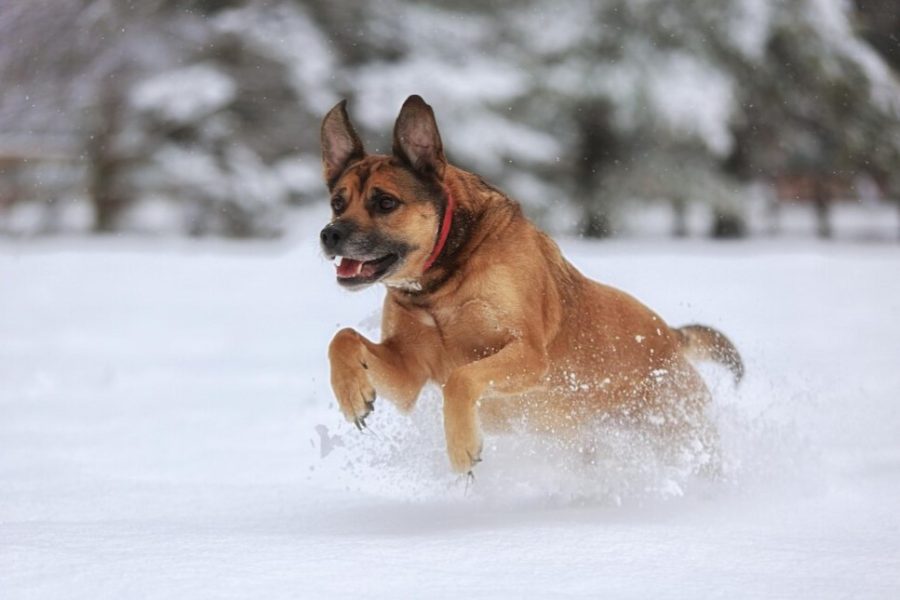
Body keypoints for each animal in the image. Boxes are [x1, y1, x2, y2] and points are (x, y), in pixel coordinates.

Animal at [320, 95, 740, 474]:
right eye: (338, 203)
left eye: (385, 203)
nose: (329, 235)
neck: (440, 283)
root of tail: (669, 336)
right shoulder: (410, 372)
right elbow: (342, 338)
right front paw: (352, 394)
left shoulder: (529, 353)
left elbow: (462, 378)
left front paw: (461, 446)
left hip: (675, 425)